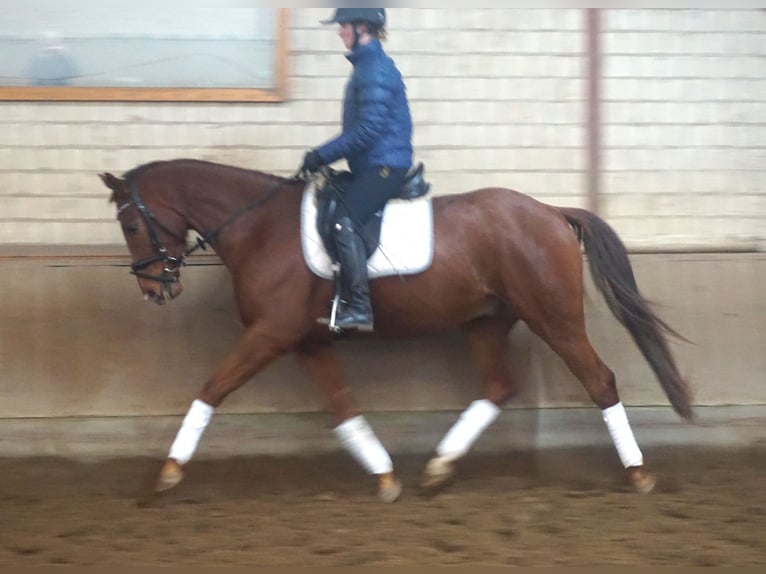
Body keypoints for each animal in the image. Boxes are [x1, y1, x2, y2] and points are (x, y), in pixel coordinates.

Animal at [99, 158, 692, 504]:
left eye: (129, 224)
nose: (155, 289)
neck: (260, 227)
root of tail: (549, 211)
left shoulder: (270, 334)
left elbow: (211, 388)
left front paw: (167, 472)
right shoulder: (307, 340)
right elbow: (343, 407)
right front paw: (385, 476)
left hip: (555, 318)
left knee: (600, 382)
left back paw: (638, 473)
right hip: (486, 321)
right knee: (499, 387)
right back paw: (439, 466)